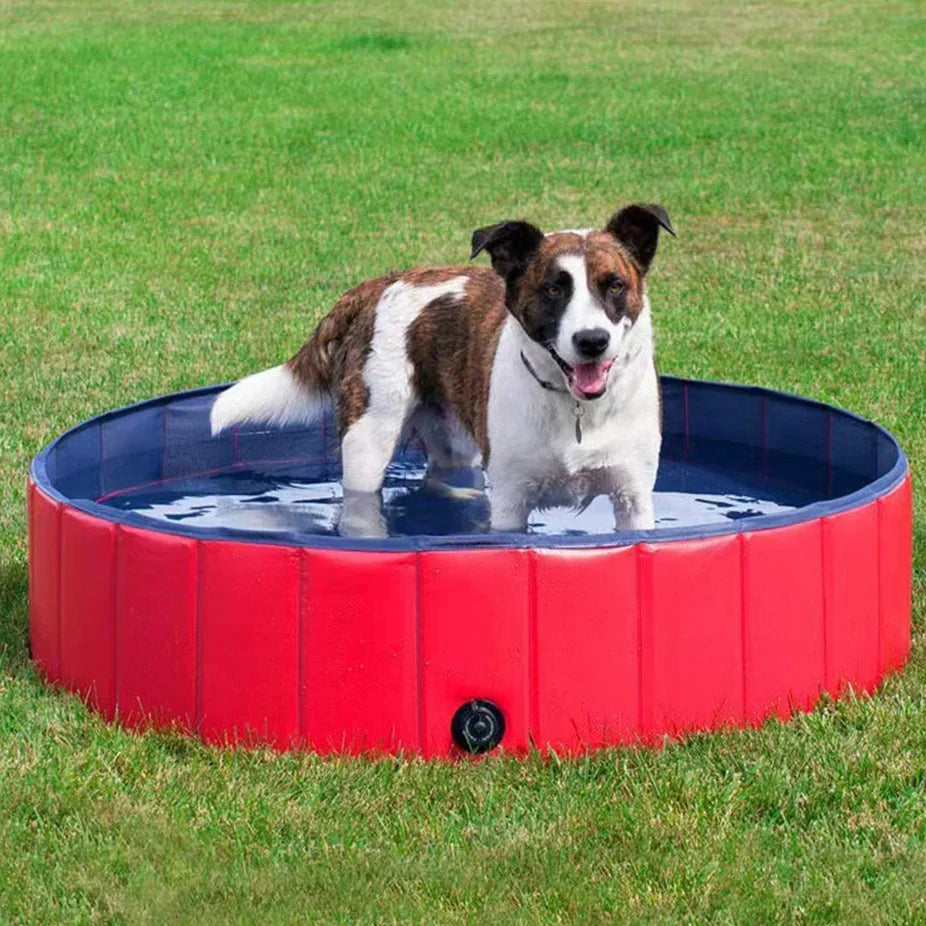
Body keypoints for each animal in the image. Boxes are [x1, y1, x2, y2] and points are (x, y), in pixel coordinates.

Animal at [210, 203, 676, 536]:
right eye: (553, 289)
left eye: (614, 284)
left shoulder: (634, 496)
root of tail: (381, 283)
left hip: (450, 430)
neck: (576, 407)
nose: (592, 340)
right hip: (368, 438)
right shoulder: (511, 501)